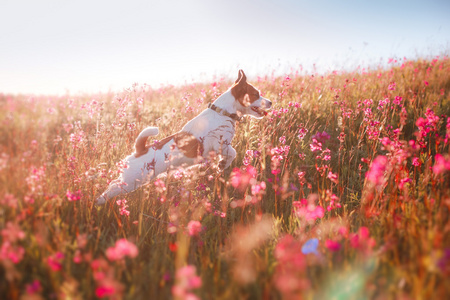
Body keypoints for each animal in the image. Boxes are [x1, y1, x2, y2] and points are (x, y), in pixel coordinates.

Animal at [96, 70, 270, 204]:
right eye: (256, 94)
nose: (271, 102)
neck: (223, 112)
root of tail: (140, 150)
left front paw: (218, 166)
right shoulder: (221, 142)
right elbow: (232, 153)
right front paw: (223, 164)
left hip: (130, 180)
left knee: (113, 183)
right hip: (133, 181)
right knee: (112, 189)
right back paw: (99, 201)